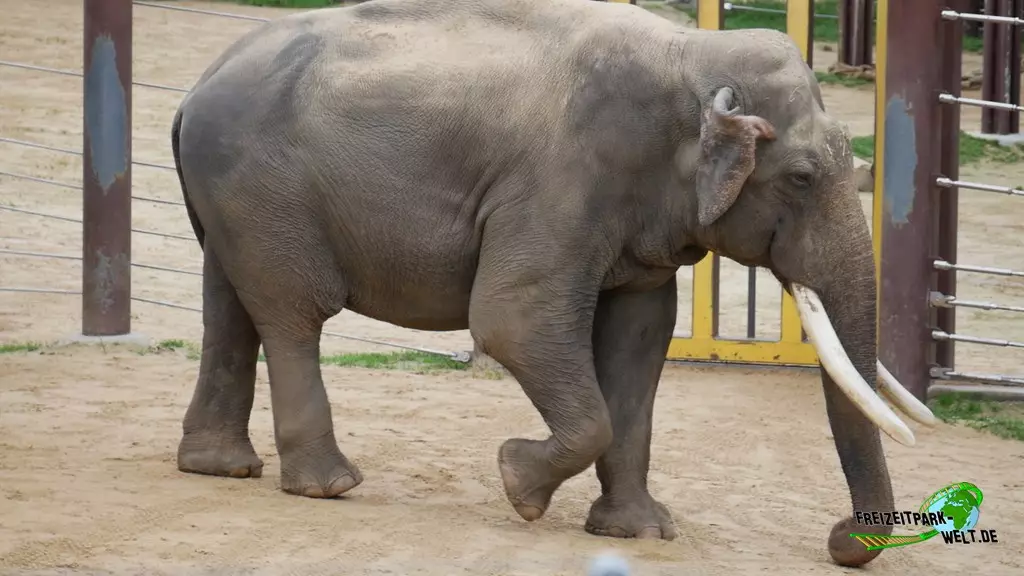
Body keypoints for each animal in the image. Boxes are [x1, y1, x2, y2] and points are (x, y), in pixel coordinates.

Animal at [170, 0, 937, 567]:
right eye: (802, 178)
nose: (837, 541)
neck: (692, 55)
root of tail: (195, 90)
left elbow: (638, 339)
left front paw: (640, 532)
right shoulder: (563, 178)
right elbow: (513, 319)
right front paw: (517, 481)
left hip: (233, 201)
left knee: (228, 306)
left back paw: (220, 468)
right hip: (266, 194)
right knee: (293, 314)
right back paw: (330, 486)